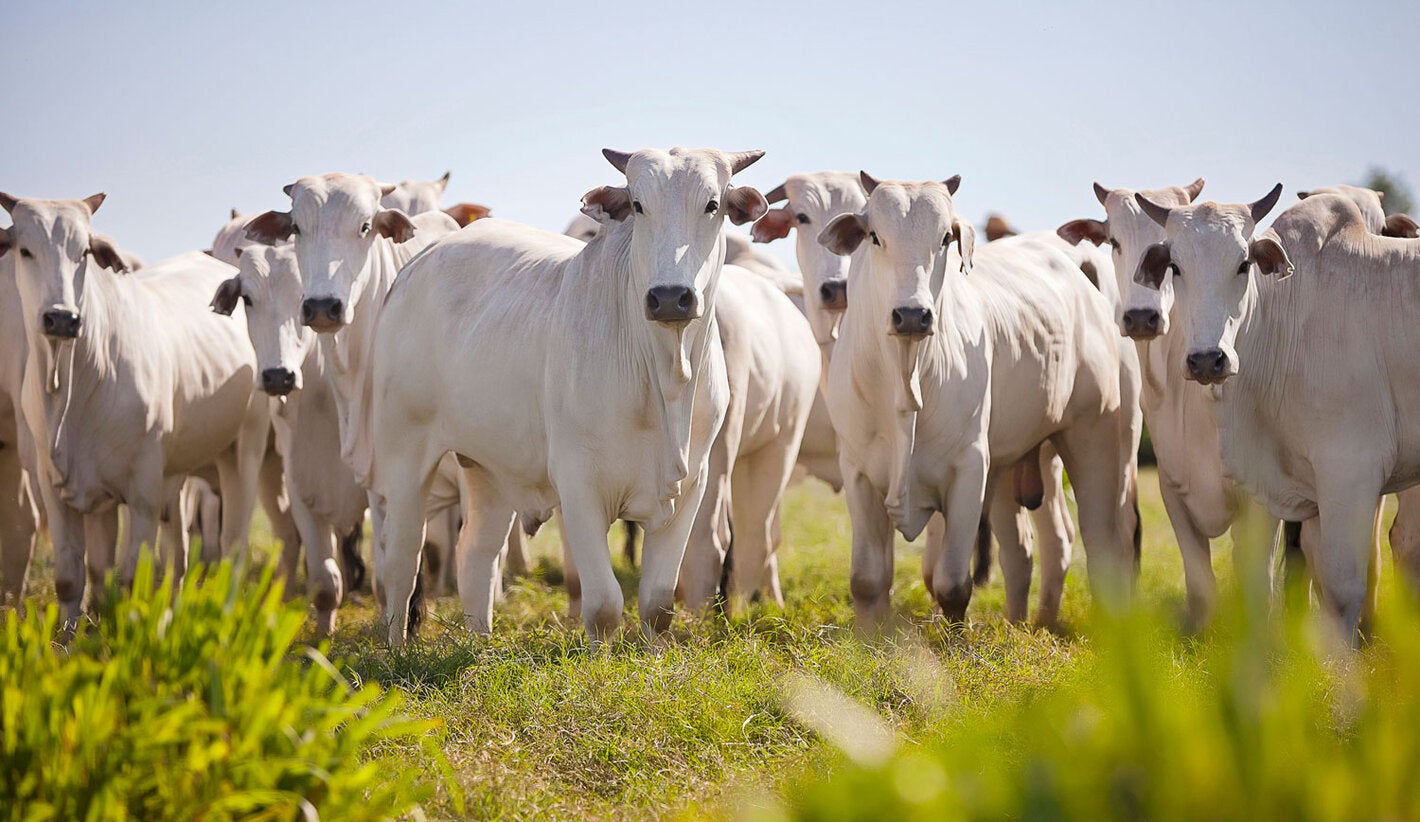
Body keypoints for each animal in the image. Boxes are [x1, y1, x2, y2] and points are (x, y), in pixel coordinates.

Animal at [0, 192, 270, 624]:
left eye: (84, 251)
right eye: (24, 250)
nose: (61, 317)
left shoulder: (141, 492)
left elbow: (131, 580)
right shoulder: (59, 488)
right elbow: (77, 578)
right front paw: (70, 635)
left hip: (244, 448)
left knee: (233, 545)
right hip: (175, 474)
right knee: (178, 554)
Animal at [364, 147, 766, 645]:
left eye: (712, 205)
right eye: (637, 205)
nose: (671, 297)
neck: (664, 379)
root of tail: (419, 263)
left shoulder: (691, 486)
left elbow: (657, 605)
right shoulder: (579, 485)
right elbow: (604, 606)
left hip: (488, 466)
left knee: (475, 554)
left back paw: (482, 646)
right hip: (404, 453)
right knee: (401, 558)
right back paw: (395, 647)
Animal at [819, 174, 1139, 628]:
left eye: (944, 239)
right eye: (875, 236)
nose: (912, 315)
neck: (905, 379)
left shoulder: (970, 468)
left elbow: (952, 584)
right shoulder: (858, 470)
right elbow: (867, 580)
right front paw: (869, 636)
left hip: (1097, 439)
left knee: (1103, 544)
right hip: (1017, 463)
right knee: (1030, 549)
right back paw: (1027, 623)